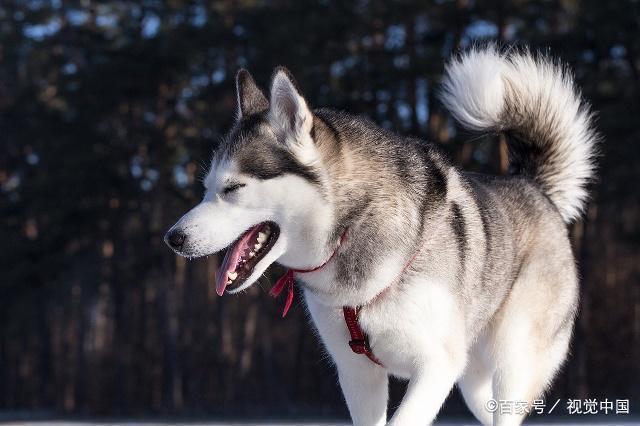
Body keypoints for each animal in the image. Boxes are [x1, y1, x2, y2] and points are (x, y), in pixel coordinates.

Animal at [164, 47, 596, 426]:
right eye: (206, 189)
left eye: (233, 188)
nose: (173, 238)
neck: (350, 230)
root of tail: (533, 187)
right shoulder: (358, 373)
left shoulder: (436, 366)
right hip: (474, 382)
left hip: (512, 362)